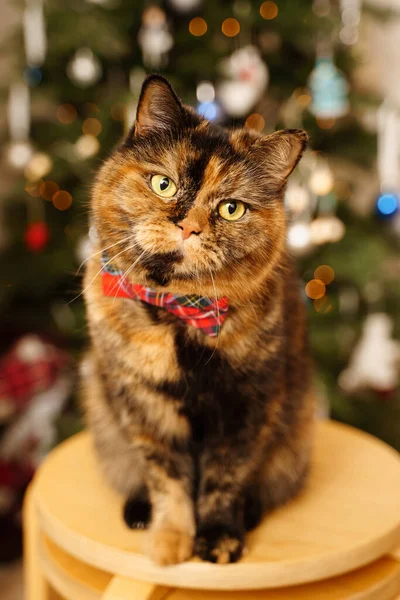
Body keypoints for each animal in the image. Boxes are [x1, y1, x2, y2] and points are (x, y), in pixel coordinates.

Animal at [82, 75, 312, 568]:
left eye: (231, 208)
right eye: (163, 184)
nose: (188, 227)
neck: (178, 315)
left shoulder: (245, 403)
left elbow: (225, 475)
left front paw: (220, 537)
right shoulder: (145, 405)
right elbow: (166, 475)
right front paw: (170, 540)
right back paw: (139, 512)